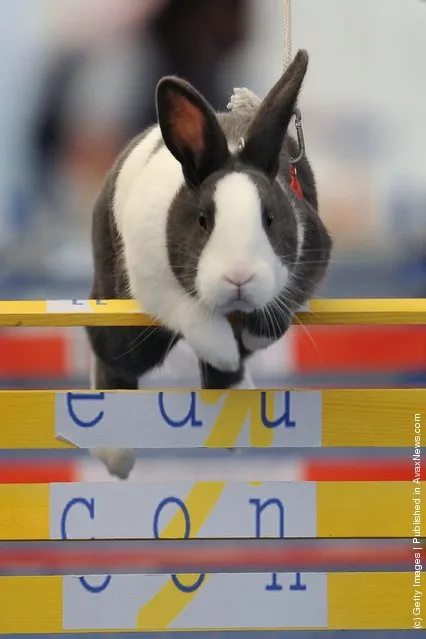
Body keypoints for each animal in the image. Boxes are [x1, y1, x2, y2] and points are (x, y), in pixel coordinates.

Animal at [85, 51, 332, 480]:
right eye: (202, 221)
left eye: (270, 219)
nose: (239, 277)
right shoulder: (152, 282)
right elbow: (194, 316)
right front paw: (222, 349)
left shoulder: (312, 254)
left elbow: (277, 311)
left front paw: (254, 337)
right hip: (122, 321)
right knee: (110, 358)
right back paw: (115, 455)